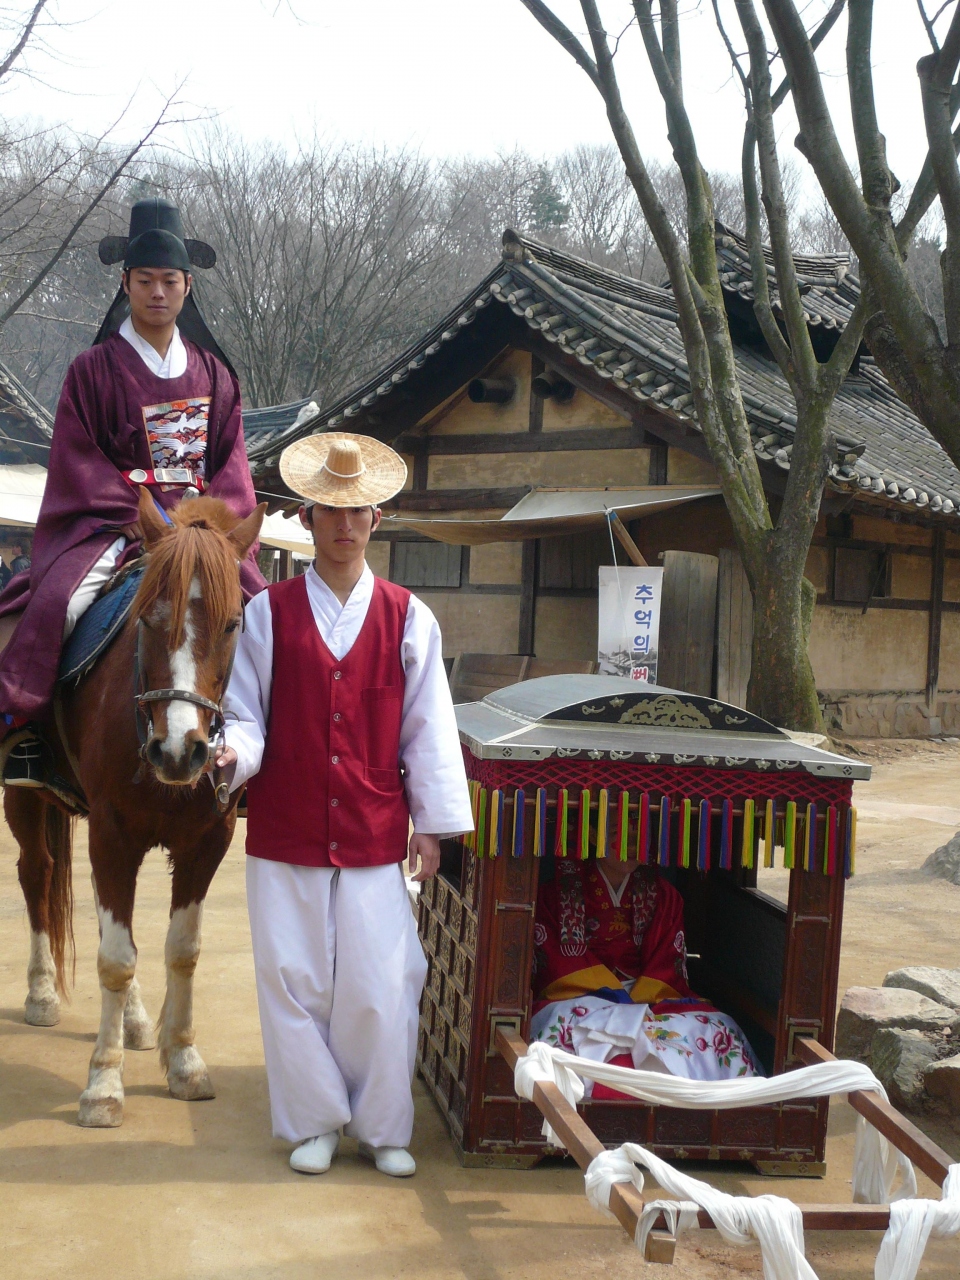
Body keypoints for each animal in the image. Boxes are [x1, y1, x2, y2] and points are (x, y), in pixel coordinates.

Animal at [5, 487, 265, 1127]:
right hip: (25, 795)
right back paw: (42, 991)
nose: (178, 750)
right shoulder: (112, 832)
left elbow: (182, 950)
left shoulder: (209, 839)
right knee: (37, 873)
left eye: (233, 624)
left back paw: (135, 1019)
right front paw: (103, 1083)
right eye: (147, 619)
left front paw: (184, 1061)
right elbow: (115, 958)